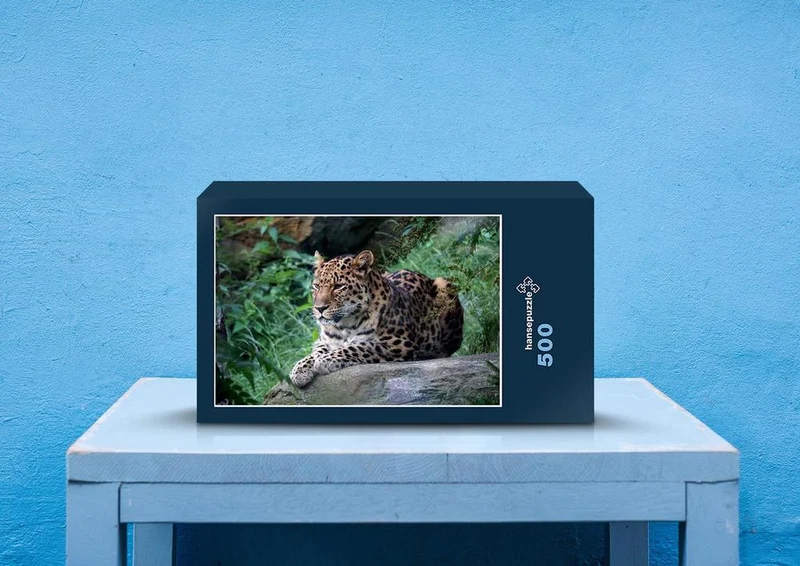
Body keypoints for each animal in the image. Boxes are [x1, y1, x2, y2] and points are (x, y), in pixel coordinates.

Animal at [289, 249, 464, 388]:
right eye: (316, 286)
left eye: (339, 286)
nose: (319, 308)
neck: (344, 325)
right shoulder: (324, 340)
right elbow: (315, 352)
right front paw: (299, 370)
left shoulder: (398, 342)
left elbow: (359, 346)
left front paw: (326, 360)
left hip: (444, 284)